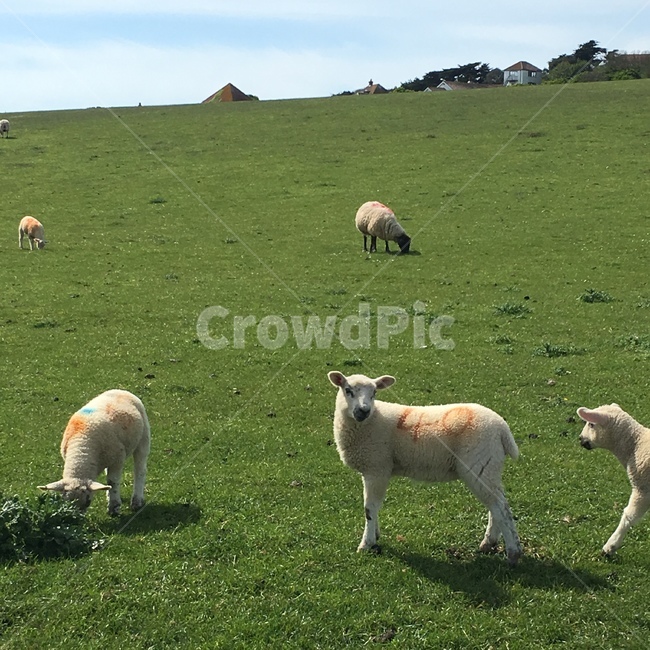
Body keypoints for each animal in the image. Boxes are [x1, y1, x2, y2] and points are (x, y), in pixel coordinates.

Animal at [327, 371, 522, 565]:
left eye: (374, 393)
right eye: (348, 390)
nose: (363, 411)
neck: (371, 421)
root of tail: (502, 428)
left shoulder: (378, 468)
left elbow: (370, 508)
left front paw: (366, 544)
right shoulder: (372, 468)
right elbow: (373, 506)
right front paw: (375, 535)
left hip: (479, 464)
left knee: (501, 508)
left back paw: (513, 553)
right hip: (489, 467)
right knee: (496, 505)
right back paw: (489, 543)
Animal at [578, 403, 650, 555]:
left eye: (591, 424)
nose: (580, 439)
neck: (635, 443)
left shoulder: (642, 489)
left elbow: (628, 517)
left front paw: (610, 546)